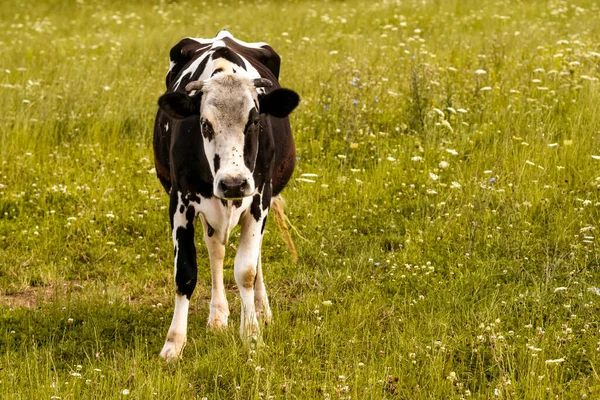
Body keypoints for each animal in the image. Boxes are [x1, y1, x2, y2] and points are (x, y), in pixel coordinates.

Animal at [152, 28, 298, 360]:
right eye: (204, 124)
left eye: (254, 121)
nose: (233, 183)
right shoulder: (180, 202)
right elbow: (185, 272)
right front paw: (174, 343)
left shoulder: (259, 197)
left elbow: (246, 270)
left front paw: (252, 334)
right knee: (215, 250)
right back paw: (218, 314)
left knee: (254, 260)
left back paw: (261, 309)